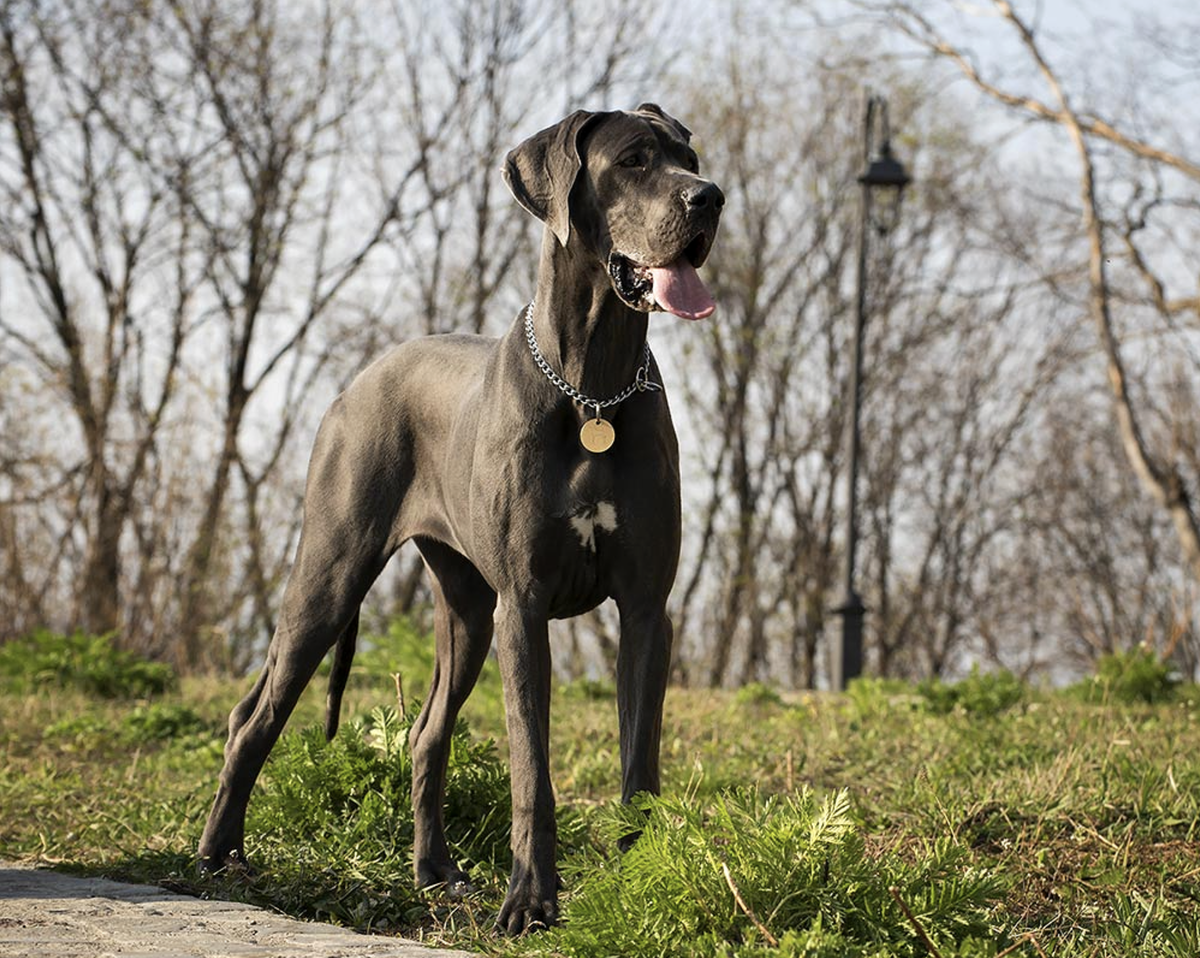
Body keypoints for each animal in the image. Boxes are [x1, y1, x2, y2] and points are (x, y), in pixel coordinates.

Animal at [196, 105, 720, 936]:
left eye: (689, 158)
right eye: (635, 161)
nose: (711, 198)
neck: (594, 388)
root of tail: (357, 379)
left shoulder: (646, 610)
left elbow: (640, 760)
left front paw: (640, 882)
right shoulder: (524, 607)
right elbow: (531, 766)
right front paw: (532, 901)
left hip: (467, 611)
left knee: (424, 734)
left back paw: (437, 874)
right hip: (332, 574)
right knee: (255, 716)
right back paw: (220, 857)